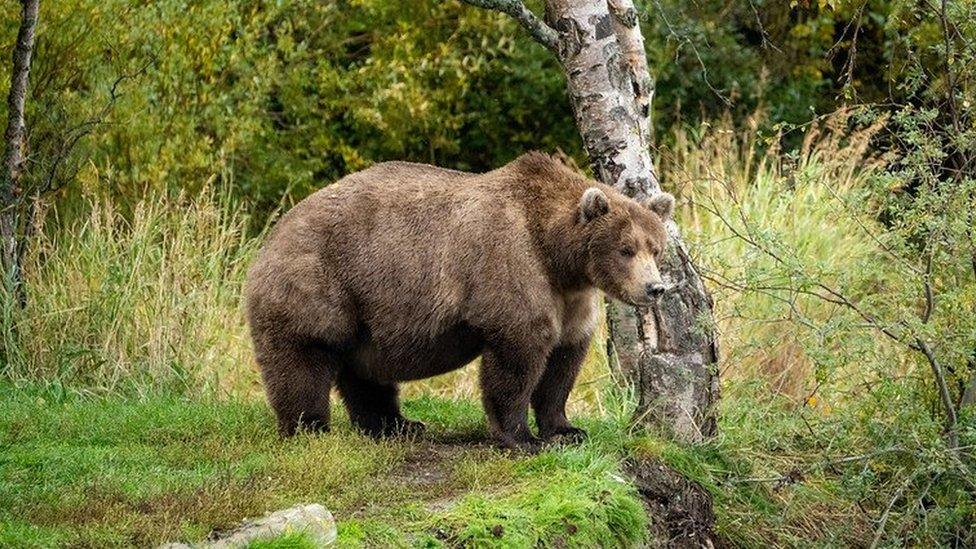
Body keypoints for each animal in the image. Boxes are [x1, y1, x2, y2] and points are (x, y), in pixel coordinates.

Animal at [246, 151, 672, 450]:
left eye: (656, 247)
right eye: (626, 249)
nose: (654, 288)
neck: (557, 256)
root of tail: (271, 237)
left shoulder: (572, 299)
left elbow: (563, 361)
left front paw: (566, 429)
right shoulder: (511, 264)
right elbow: (518, 355)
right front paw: (522, 437)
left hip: (368, 311)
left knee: (365, 371)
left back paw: (398, 425)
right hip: (319, 283)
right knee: (303, 360)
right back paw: (310, 428)